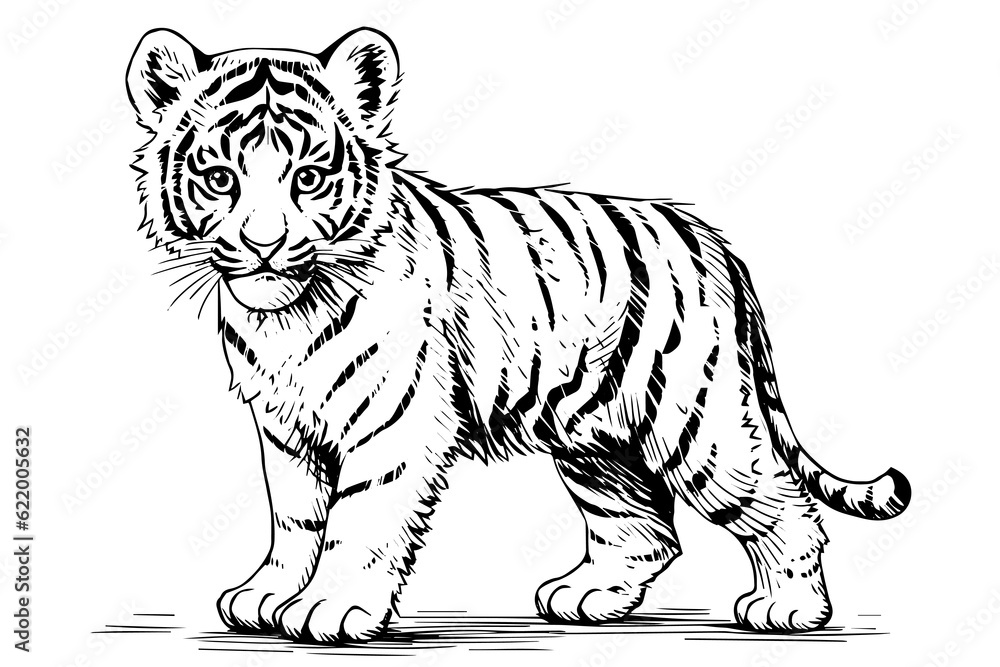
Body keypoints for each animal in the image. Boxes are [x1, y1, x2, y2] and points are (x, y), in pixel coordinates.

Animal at [126, 27, 910, 643]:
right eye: (219, 177)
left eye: (311, 177)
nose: (262, 246)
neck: (286, 315)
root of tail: (708, 240)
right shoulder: (289, 427)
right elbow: (294, 519)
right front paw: (266, 595)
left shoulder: (393, 425)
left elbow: (360, 520)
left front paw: (332, 607)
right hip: (594, 439)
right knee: (645, 530)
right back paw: (587, 597)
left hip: (698, 422)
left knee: (781, 504)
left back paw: (788, 607)